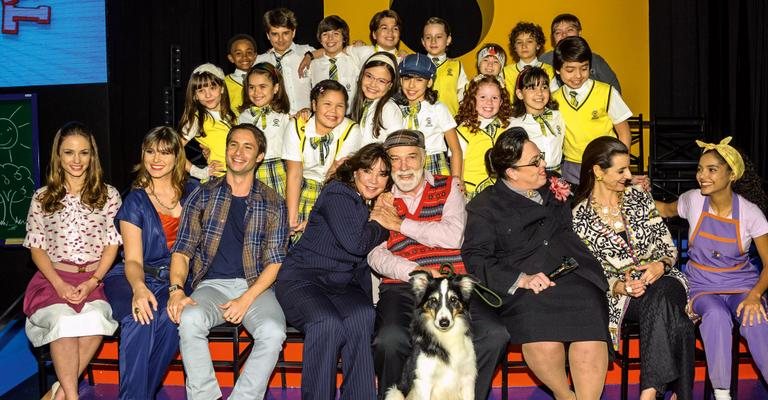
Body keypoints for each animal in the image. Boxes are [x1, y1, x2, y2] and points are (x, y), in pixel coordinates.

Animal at [384, 272, 474, 400]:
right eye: (433, 300)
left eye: (453, 299)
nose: (444, 322)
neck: (446, 336)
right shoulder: (424, 381)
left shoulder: (467, 380)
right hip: (395, 392)